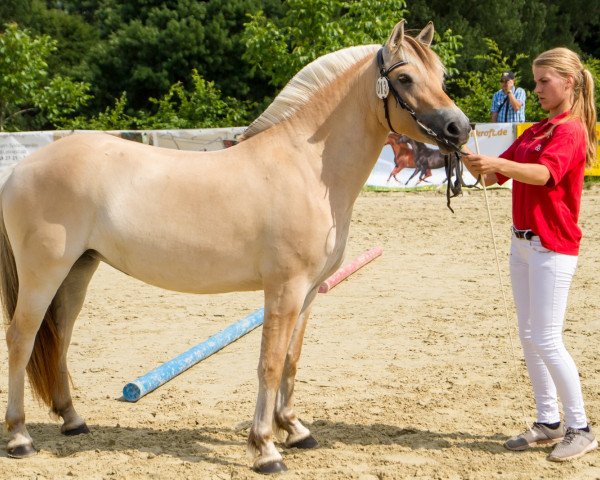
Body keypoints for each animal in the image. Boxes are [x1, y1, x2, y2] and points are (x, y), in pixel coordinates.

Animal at [0, 20, 468, 474]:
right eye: (405, 77)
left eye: (441, 76)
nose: (459, 129)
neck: (307, 167)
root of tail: (21, 169)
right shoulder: (283, 290)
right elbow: (270, 364)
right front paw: (266, 449)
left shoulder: (309, 292)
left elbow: (292, 360)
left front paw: (294, 430)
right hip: (44, 274)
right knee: (21, 339)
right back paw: (20, 437)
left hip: (78, 271)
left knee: (59, 338)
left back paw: (73, 420)